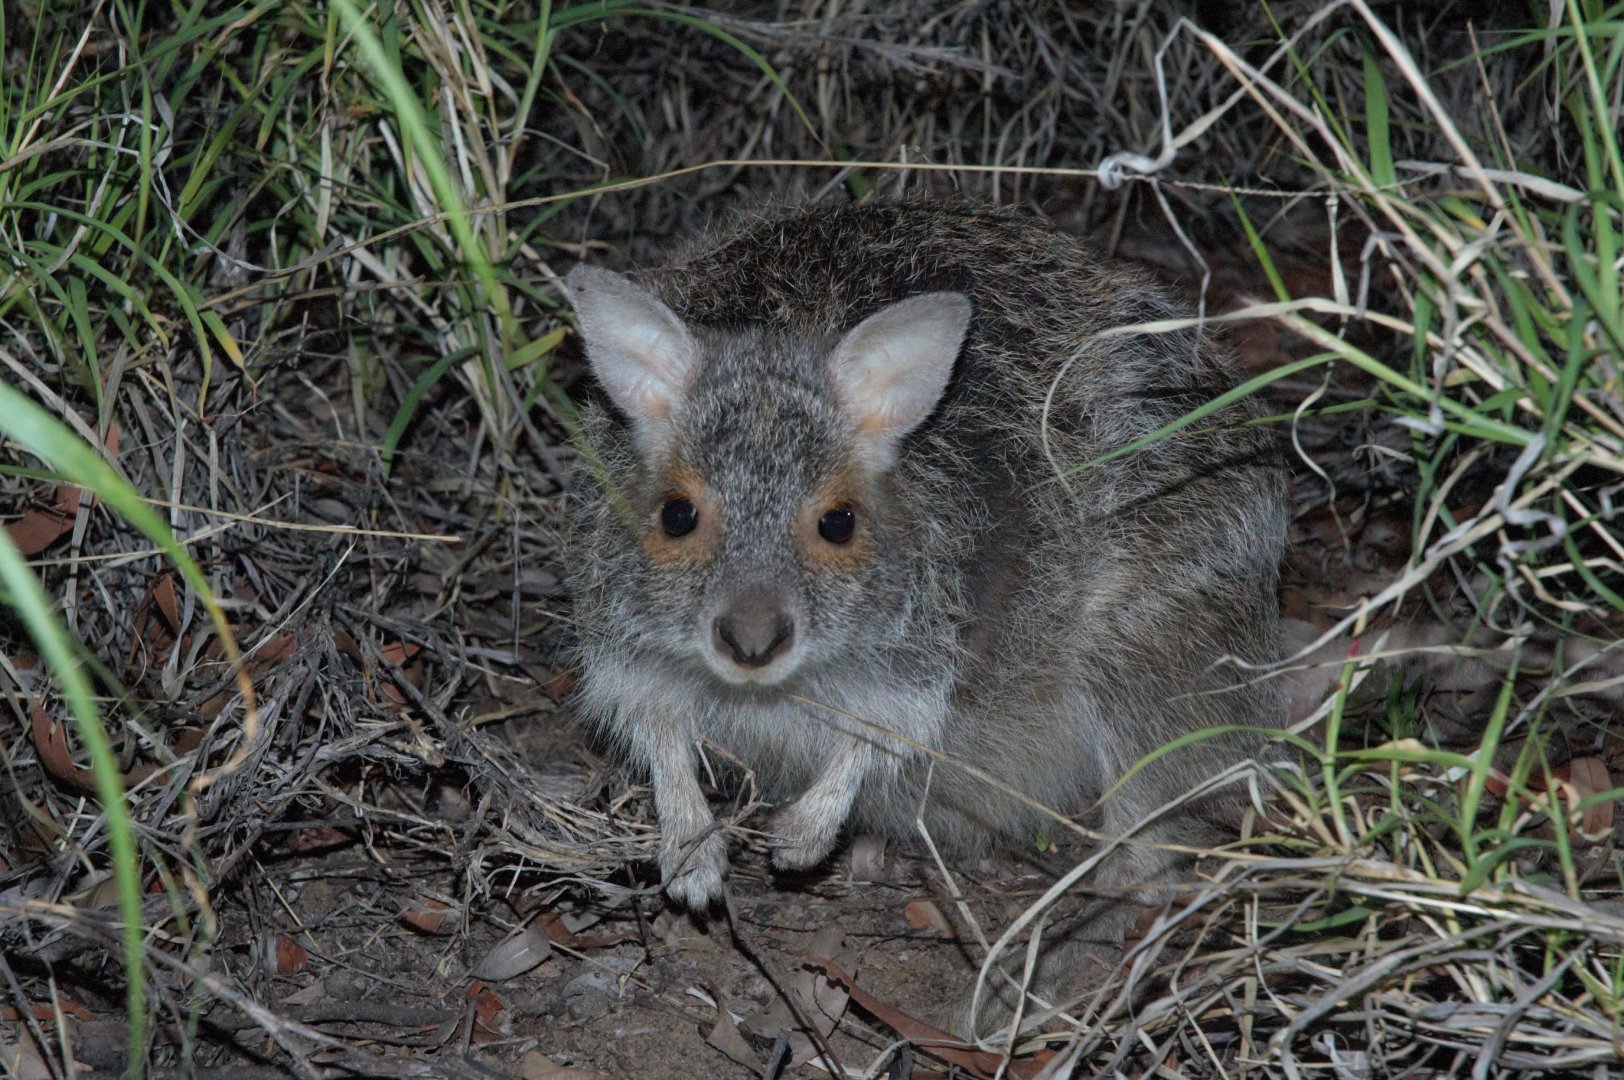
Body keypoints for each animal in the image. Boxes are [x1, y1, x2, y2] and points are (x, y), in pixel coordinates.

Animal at [562, 200, 1285, 1026]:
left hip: (1146, 644)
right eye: (677, 516)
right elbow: (658, 731)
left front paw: (801, 838)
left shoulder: (919, 657)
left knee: (1150, 852)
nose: (751, 643)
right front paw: (690, 854)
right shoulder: (625, 645)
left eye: (838, 523)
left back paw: (1040, 981)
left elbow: (876, 737)